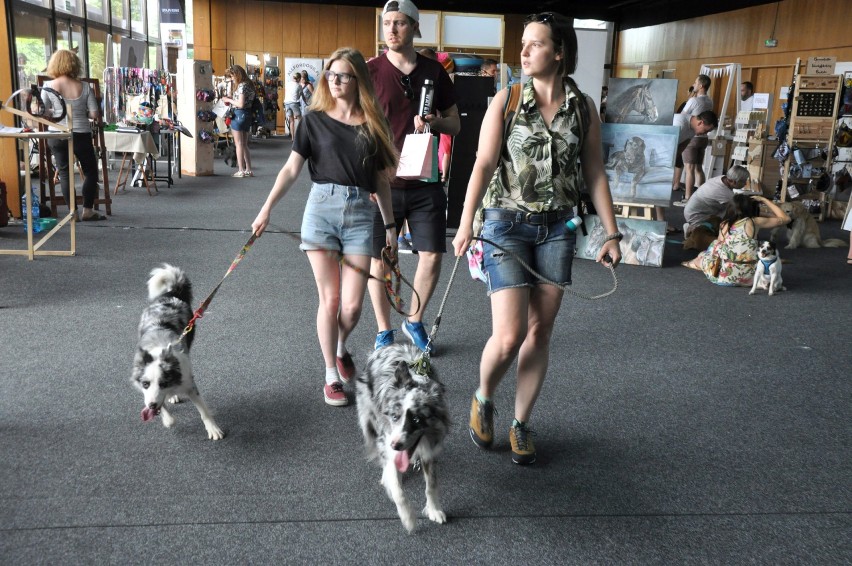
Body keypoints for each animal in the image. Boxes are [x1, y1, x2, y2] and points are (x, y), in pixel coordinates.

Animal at [131, 264, 225, 442]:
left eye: (163, 383)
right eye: (145, 384)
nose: (151, 406)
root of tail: (171, 294)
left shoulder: (189, 383)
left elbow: (203, 410)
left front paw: (213, 429)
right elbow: (165, 411)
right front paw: (168, 419)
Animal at [356, 344, 452, 536]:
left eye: (416, 420)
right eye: (395, 416)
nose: (396, 445)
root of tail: (389, 345)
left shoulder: (430, 450)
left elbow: (431, 485)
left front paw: (434, 510)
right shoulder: (387, 441)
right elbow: (398, 491)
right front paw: (408, 519)